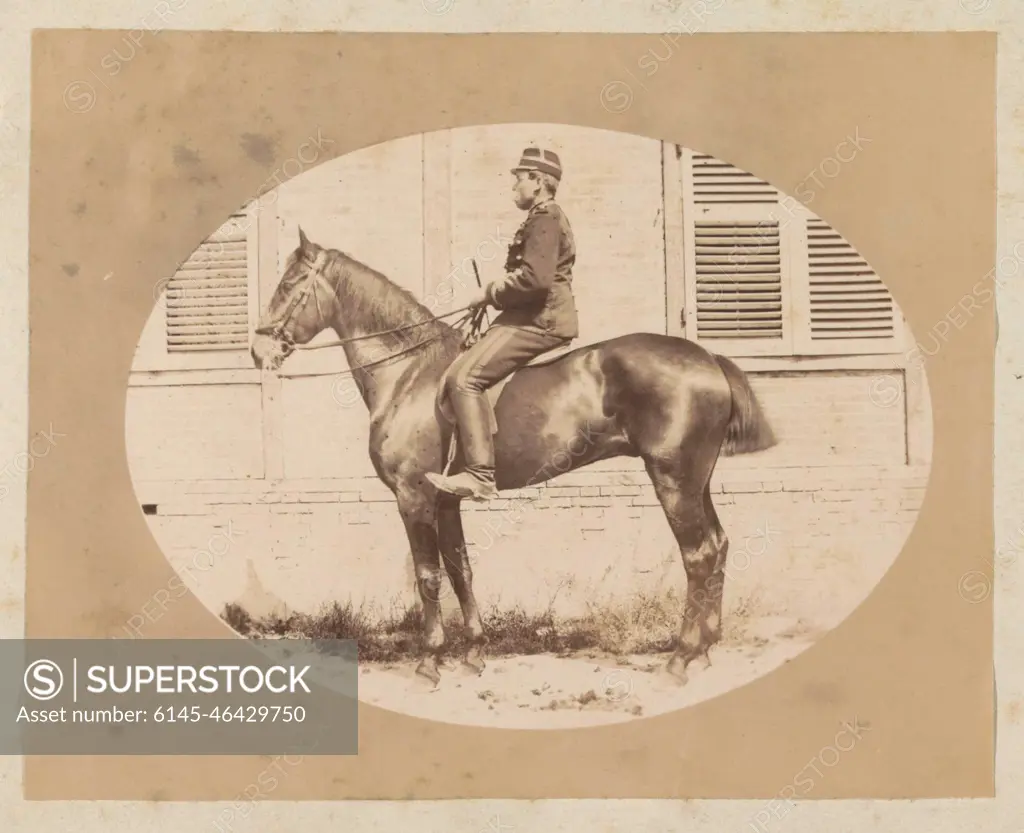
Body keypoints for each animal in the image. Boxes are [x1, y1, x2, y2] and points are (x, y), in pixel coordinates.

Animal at [247, 225, 774, 684]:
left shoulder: (413, 498)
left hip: (673, 480)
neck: (409, 373)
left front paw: (429, 661)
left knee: (698, 555)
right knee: (718, 546)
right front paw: (474, 653)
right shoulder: (446, 500)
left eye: (289, 284)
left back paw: (681, 657)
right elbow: (460, 570)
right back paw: (705, 650)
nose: (258, 350)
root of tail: (706, 358)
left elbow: (427, 577)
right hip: (696, 481)